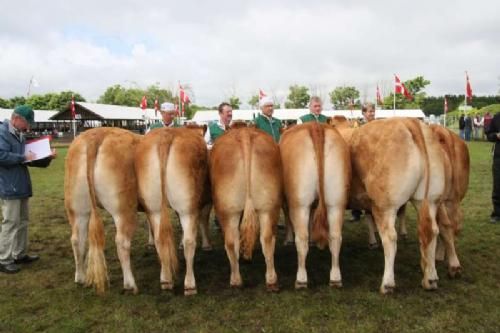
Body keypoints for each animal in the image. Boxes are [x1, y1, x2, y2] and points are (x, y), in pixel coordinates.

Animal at [65, 127, 142, 294]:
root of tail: (97, 135)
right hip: (124, 209)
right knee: (122, 241)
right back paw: (130, 284)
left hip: (77, 207)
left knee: (77, 239)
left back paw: (80, 277)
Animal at [134, 126, 210, 294]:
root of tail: (166, 136)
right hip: (187, 208)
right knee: (190, 242)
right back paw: (190, 285)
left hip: (154, 208)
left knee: (159, 240)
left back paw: (166, 280)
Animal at [209, 126, 284, 290]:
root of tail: (245, 133)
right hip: (269, 206)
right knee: (267, 238)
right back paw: (271, 281)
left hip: (226, 210)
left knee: (231, 241)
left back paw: (236, 281)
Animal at [280, 122, 350, 288]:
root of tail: (315, 127)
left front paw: (287, 239)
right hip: (336, 201)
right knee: (336, 237)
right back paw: (335, 278)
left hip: (300, 203)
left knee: (301, 238)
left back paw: (301, 279)